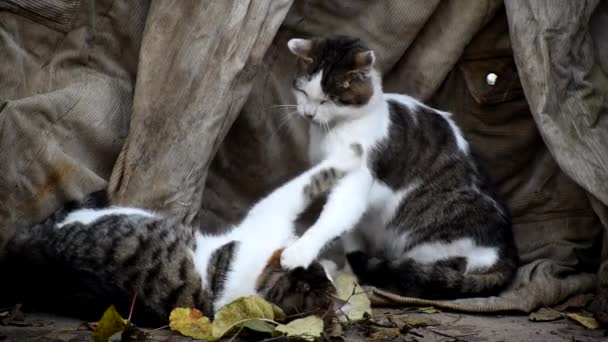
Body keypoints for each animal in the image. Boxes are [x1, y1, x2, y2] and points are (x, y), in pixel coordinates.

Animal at [2, 143, 364, 324]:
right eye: (314, 274)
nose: (328, 279)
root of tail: (21, 259)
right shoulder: (270, 212)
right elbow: (311, 181)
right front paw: (352, 155)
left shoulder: (269, 215)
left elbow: (309, 182)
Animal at [280, 35, 516, 300]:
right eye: (302, 91)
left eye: (327, 100)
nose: (308, 114)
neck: (334, 129)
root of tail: (507, 253)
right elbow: (350, 234)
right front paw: (344, 270)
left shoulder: (353, 186)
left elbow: (333, 219)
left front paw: (299, 253)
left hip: (428, 243)